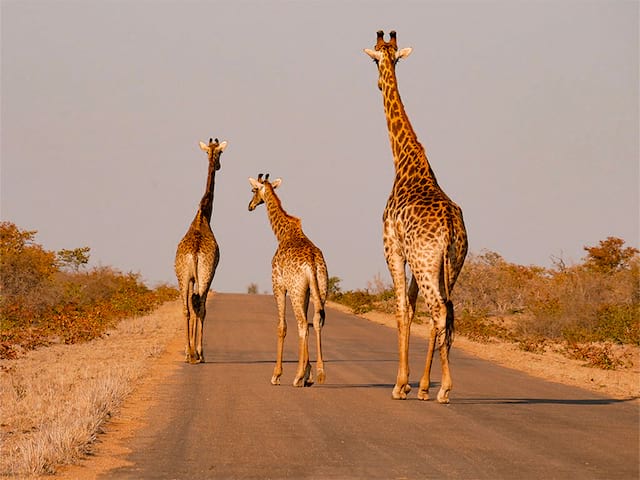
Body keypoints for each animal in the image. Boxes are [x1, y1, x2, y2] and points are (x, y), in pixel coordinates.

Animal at [246, 174, 328, 388]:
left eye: (253, 190)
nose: (250, 206)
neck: (283, 234)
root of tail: (312, 263)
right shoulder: (306, 291)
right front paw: (308, 374)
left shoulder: (279, 285)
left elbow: (281, 327)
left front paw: (277, 375)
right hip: (320, 289)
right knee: (315, 322)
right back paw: (319, 374)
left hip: (295, 291)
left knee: (302, 325)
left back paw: (297, 377)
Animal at [364, 31, 470, 404]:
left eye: (374, 58)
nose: (377, 84)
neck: (404, 160)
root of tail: (452, 228)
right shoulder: (416, 257)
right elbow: (410, 309)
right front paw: (414, 383)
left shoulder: (392, 248)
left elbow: (401, 309)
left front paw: (400, 384)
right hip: (449, 264)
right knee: (448, 311)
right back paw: (430, 387)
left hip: (426, 263)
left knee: (438, 310)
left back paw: (445, 389)